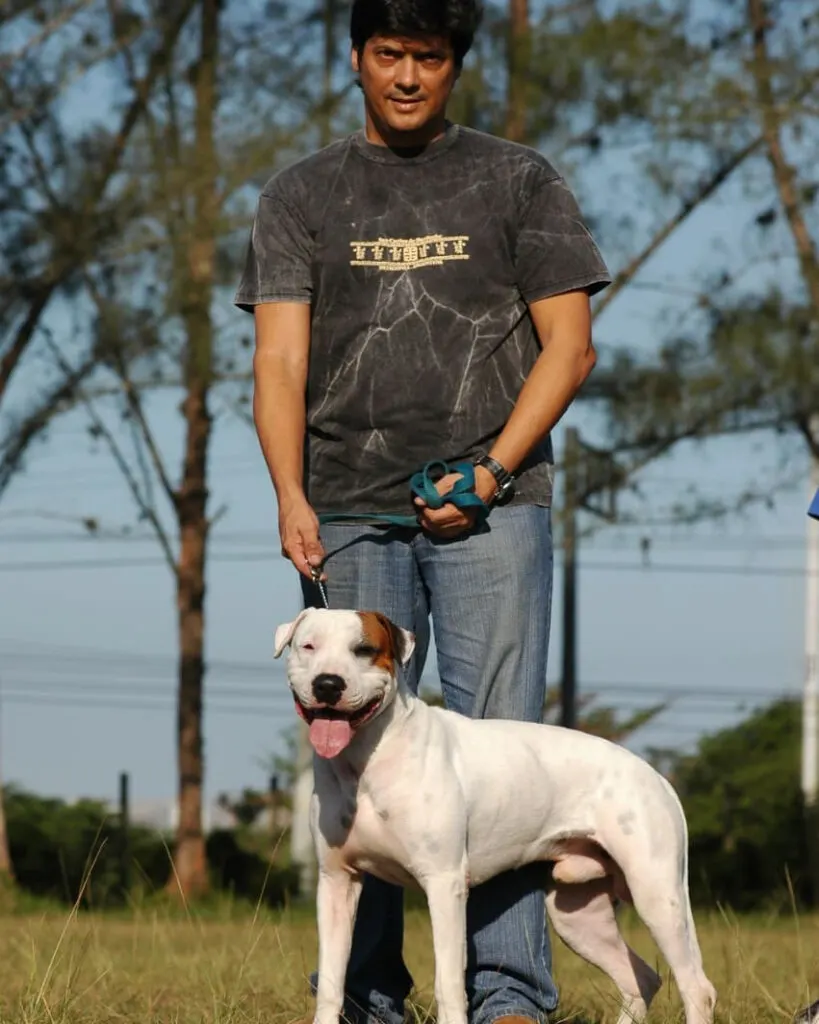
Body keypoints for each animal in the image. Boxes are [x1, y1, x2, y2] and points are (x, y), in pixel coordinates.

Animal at [274, 606, 716, 1024]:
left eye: (364, 649)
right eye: (308, 646)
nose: (328, 684)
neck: (368, 758)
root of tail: (657, 777)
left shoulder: (444, 883)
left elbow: (449, 984)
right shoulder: (337, 882)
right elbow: (332, 981)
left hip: (657, 894)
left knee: (696, 987)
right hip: (578, 916)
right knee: (641, 977)